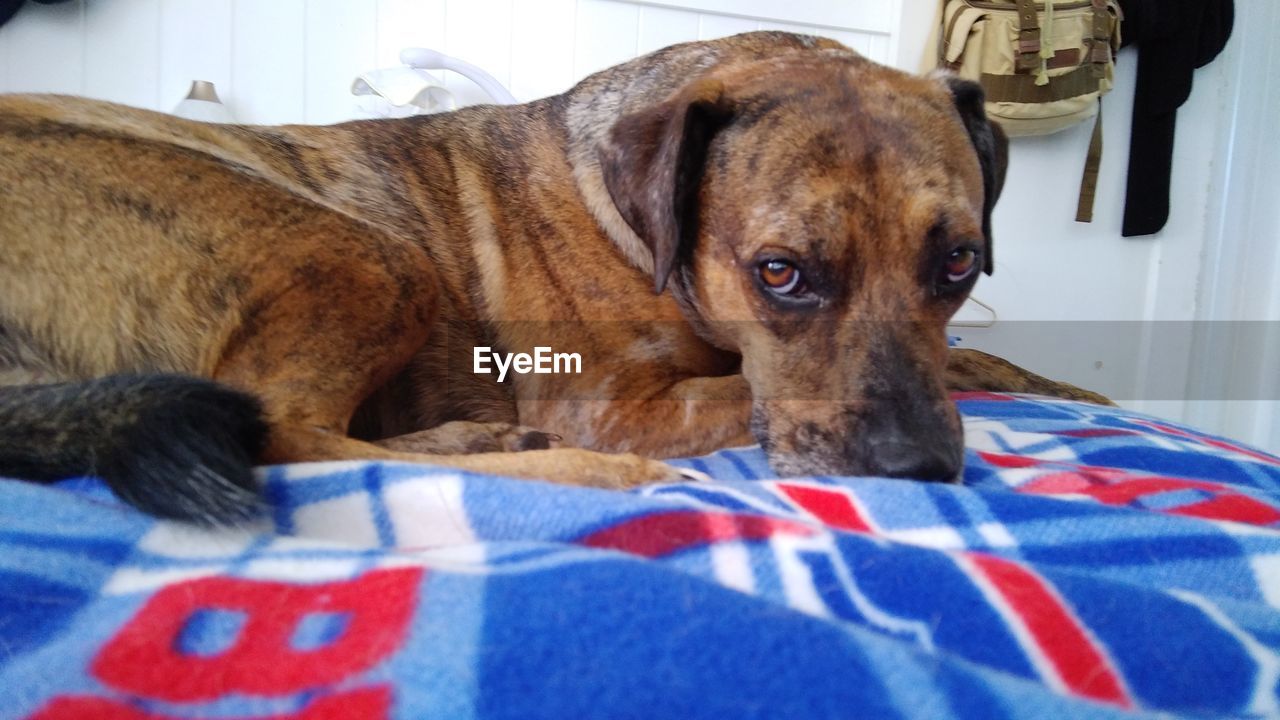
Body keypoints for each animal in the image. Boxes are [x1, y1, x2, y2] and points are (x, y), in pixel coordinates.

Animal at [0, 32, 1100, 520]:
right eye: (779, 272)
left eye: (957, 262)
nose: (917, 471)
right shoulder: (609, 401)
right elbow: (740, 392)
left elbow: (972, 362)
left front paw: (1065, 388)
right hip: (363, 249)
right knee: (286, 433)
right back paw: (575, 471)